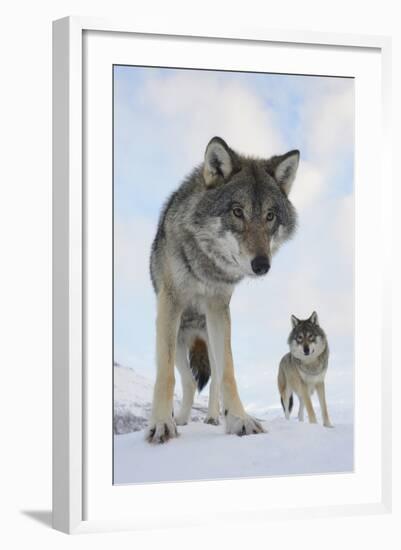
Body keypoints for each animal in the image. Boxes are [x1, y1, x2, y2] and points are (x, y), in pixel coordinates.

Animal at [145, 137, 298, 444]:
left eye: (270, 216)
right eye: (237, 212)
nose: (262, 265)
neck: (205, 264)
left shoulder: (218, 308)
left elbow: (228, 373)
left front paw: (239, 420)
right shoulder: (170, 304)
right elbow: (165, 375)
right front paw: (161, 423)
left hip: (209, 339)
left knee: (213, 378)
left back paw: (214, 417)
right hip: (179, 340)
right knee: (189, 381)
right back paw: (181, 418)